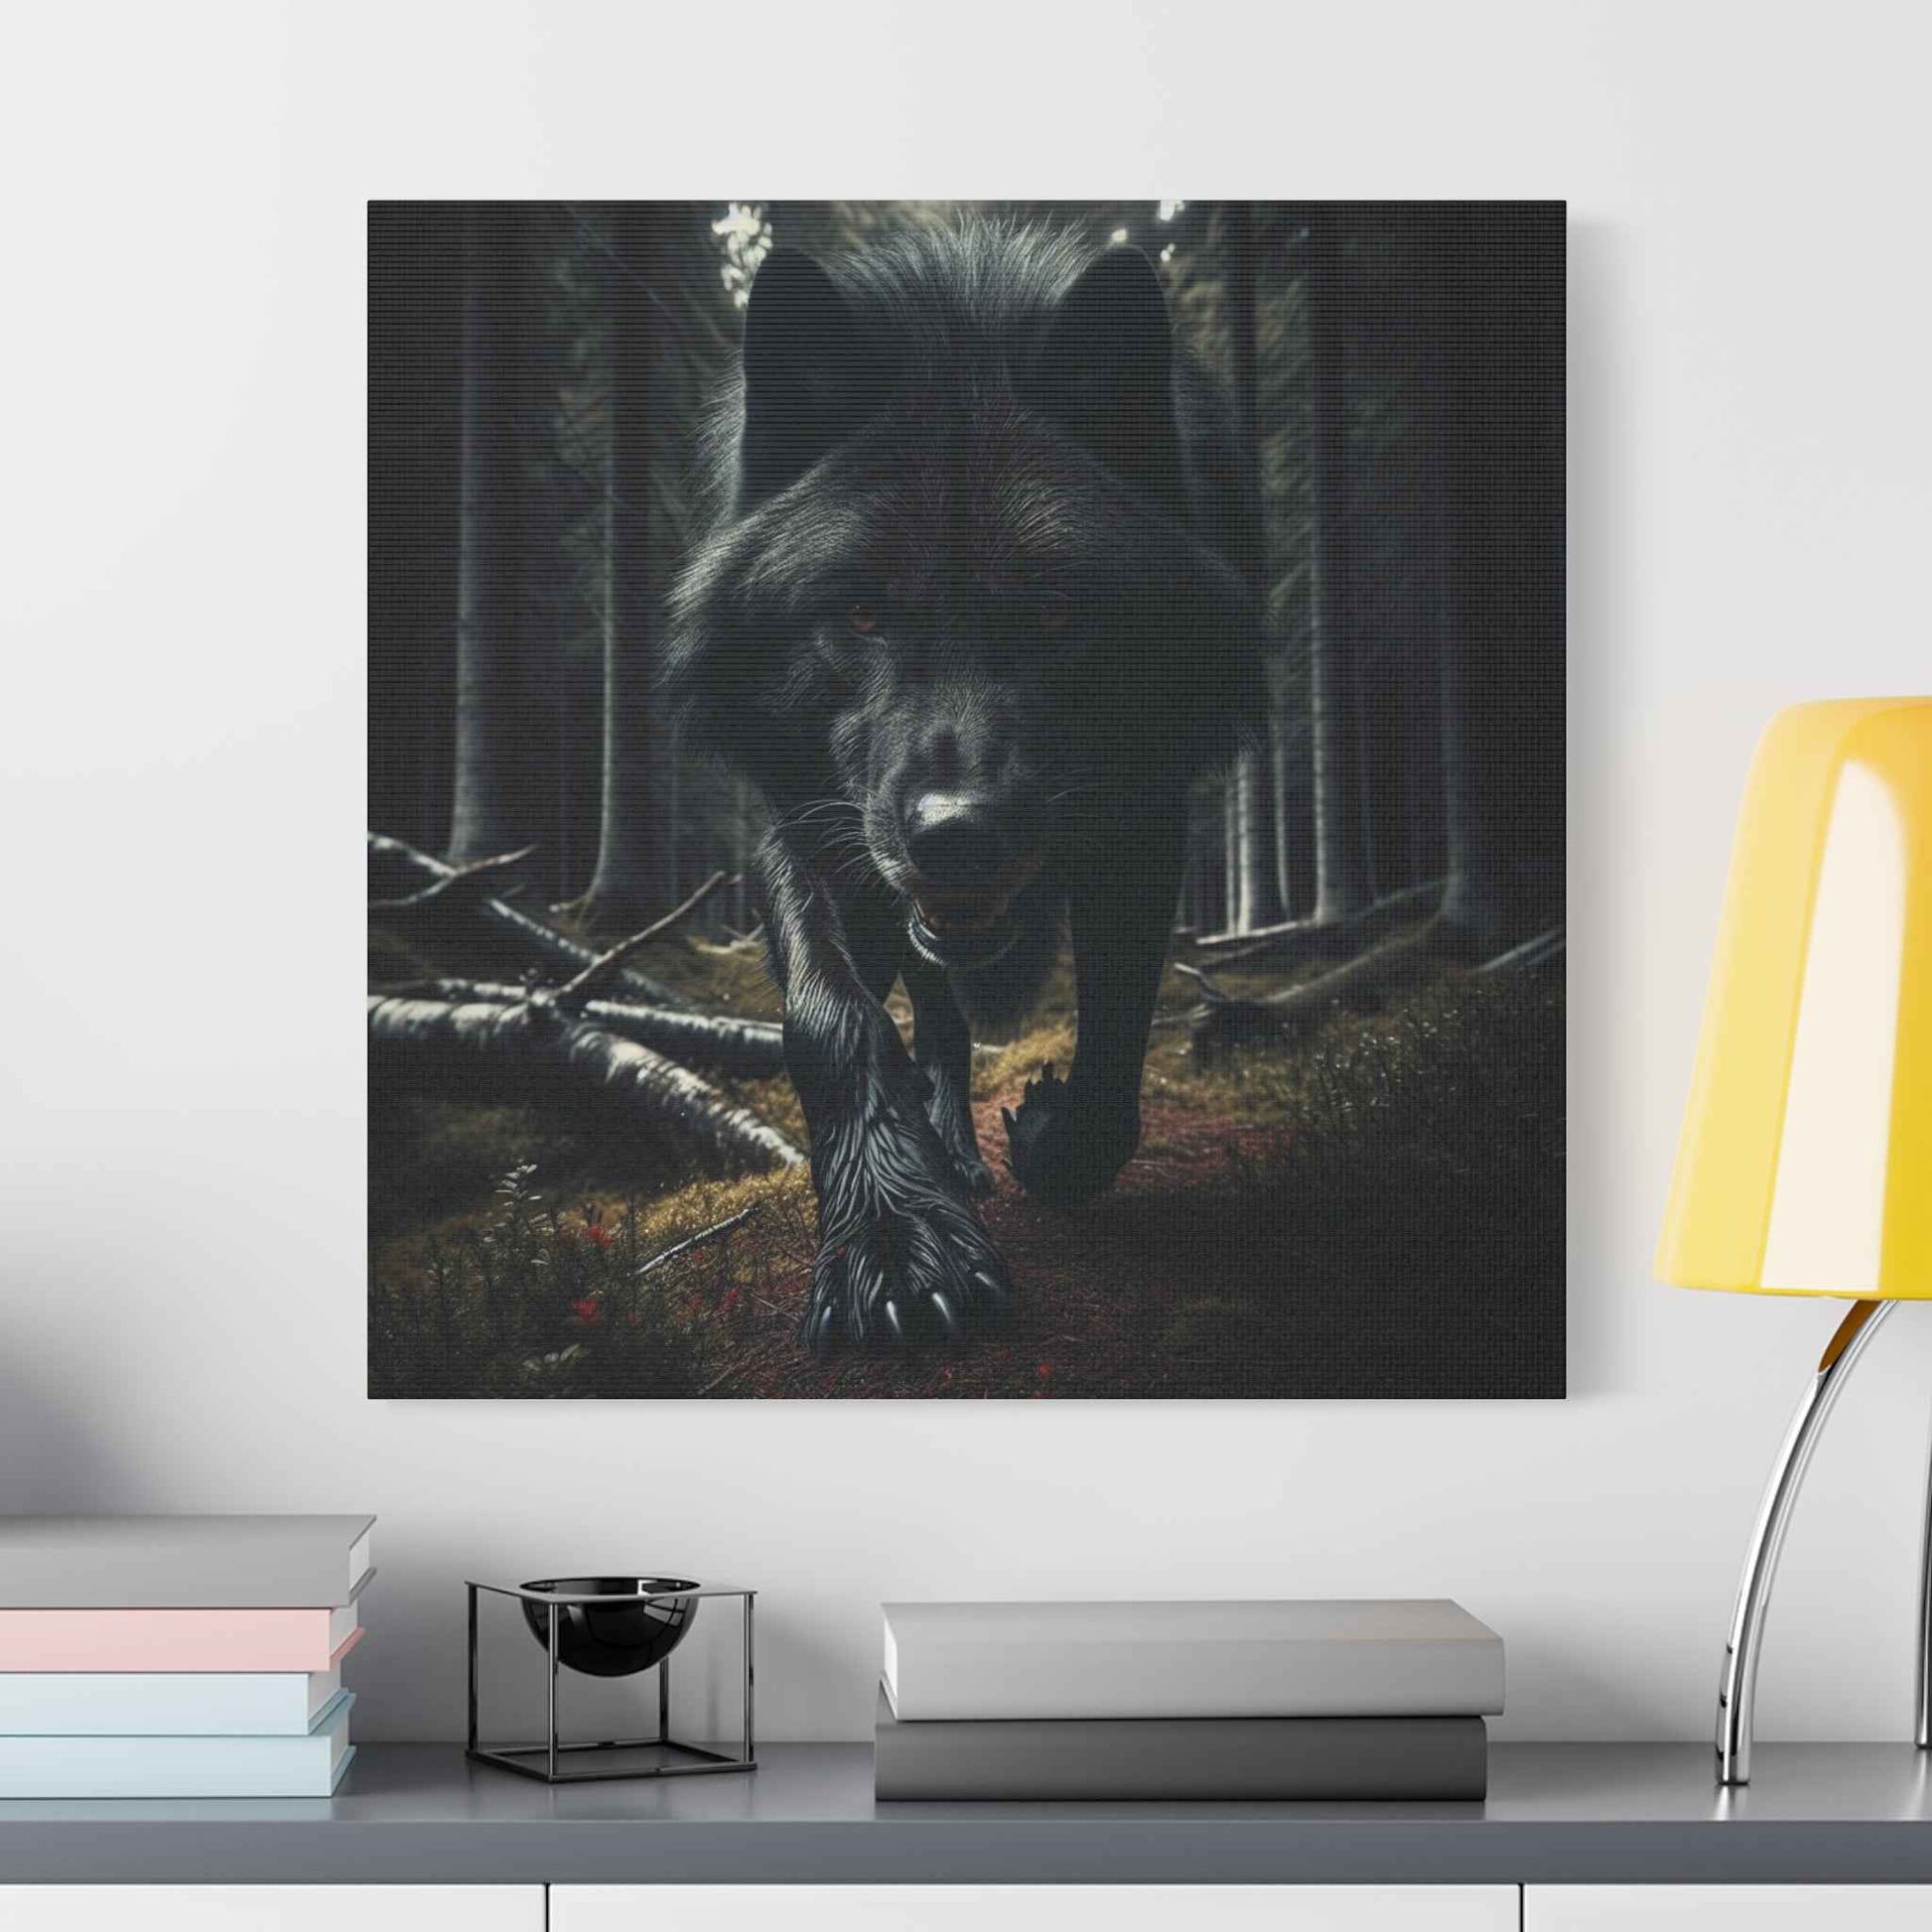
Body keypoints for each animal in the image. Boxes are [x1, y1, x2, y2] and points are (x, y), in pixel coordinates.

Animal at [666, 219, 1267, 1351]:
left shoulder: (1142, 815)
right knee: (930, 1017)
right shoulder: (802, 820)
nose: (958, 836)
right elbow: (832, 1019)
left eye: (1058, 612)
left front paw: (1049, 1139)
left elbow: (1115, 1029)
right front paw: (896, 1242)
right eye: (861, 613)